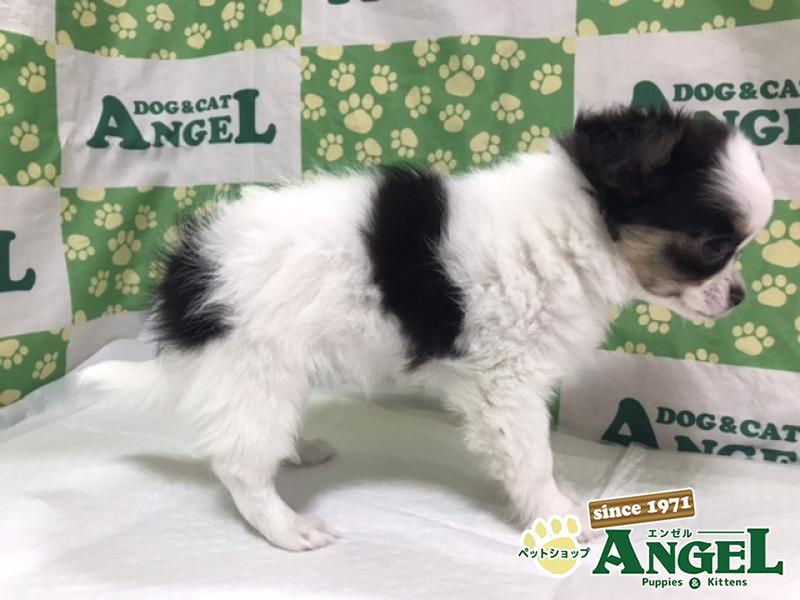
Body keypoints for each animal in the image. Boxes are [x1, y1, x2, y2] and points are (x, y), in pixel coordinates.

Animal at [81, 107, 773, 551]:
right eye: (714, 246)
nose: (740, 297)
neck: (577, 230)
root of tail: (186, 271)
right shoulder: (506, 384)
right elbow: (531, 457)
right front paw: (556, 515)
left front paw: (559, 499)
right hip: (254, 365)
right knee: (238, 466)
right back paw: (285, 527)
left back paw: (297, 451)